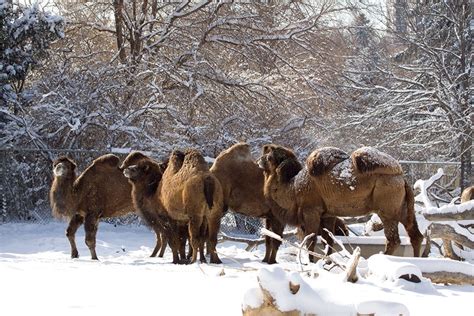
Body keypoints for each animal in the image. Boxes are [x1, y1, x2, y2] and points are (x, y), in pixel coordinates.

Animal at [258, 144, 424, 260]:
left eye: (269, 157)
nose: (259, 160)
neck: (293, 187)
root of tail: (401, 177)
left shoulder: (311, 210)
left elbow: (311, 239)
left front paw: (311, 262)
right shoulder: (328, 214)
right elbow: (329, 240)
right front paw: (326, 261)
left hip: (387, 208)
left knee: (393, 239)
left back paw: (383, 257)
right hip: (403, 207)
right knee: (415, 235)